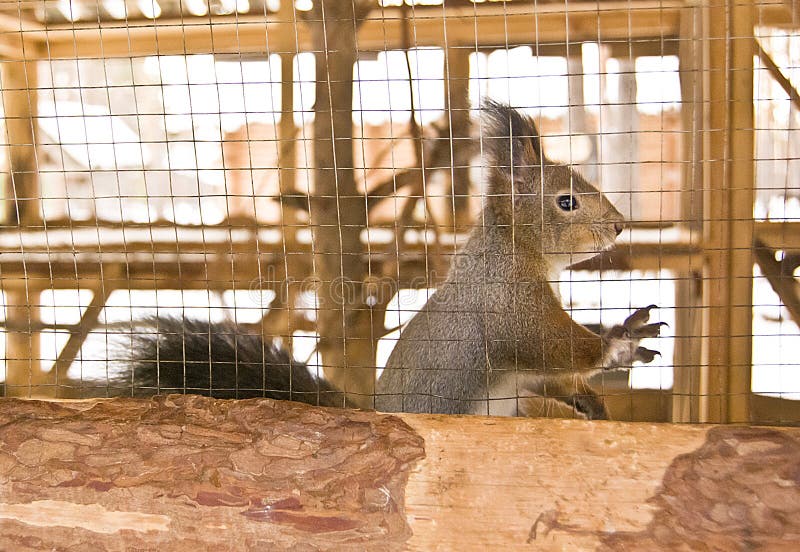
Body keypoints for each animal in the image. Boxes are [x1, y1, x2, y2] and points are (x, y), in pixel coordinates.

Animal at [112, 100, 660, 418]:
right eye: (566, 201)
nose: (618, 225)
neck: (515, 248)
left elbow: (547, 375)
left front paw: (587, 398)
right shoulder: (510, 304)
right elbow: (554, 345)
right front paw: (619, 343)